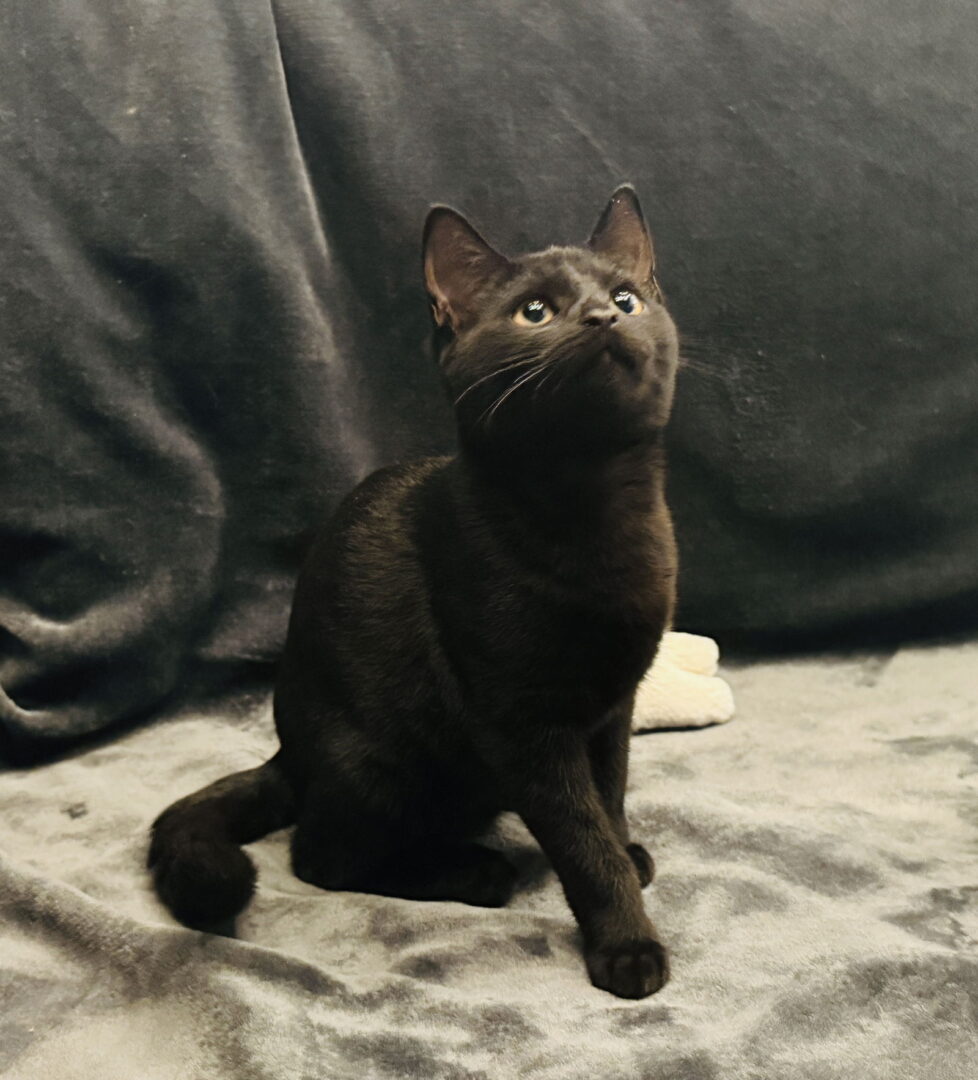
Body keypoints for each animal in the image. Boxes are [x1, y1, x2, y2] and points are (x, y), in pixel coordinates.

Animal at [149, 187, 679, 999]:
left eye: (626, 297)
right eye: (534, 311)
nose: (603, 316)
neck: (595, 509)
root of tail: (288, 758)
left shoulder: (612, 708)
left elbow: (610, 796)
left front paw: (629, 854)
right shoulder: (523, 727)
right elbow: (580, 836)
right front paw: (627, 945)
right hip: (379, 762)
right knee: (321, 858)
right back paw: (475, 870)